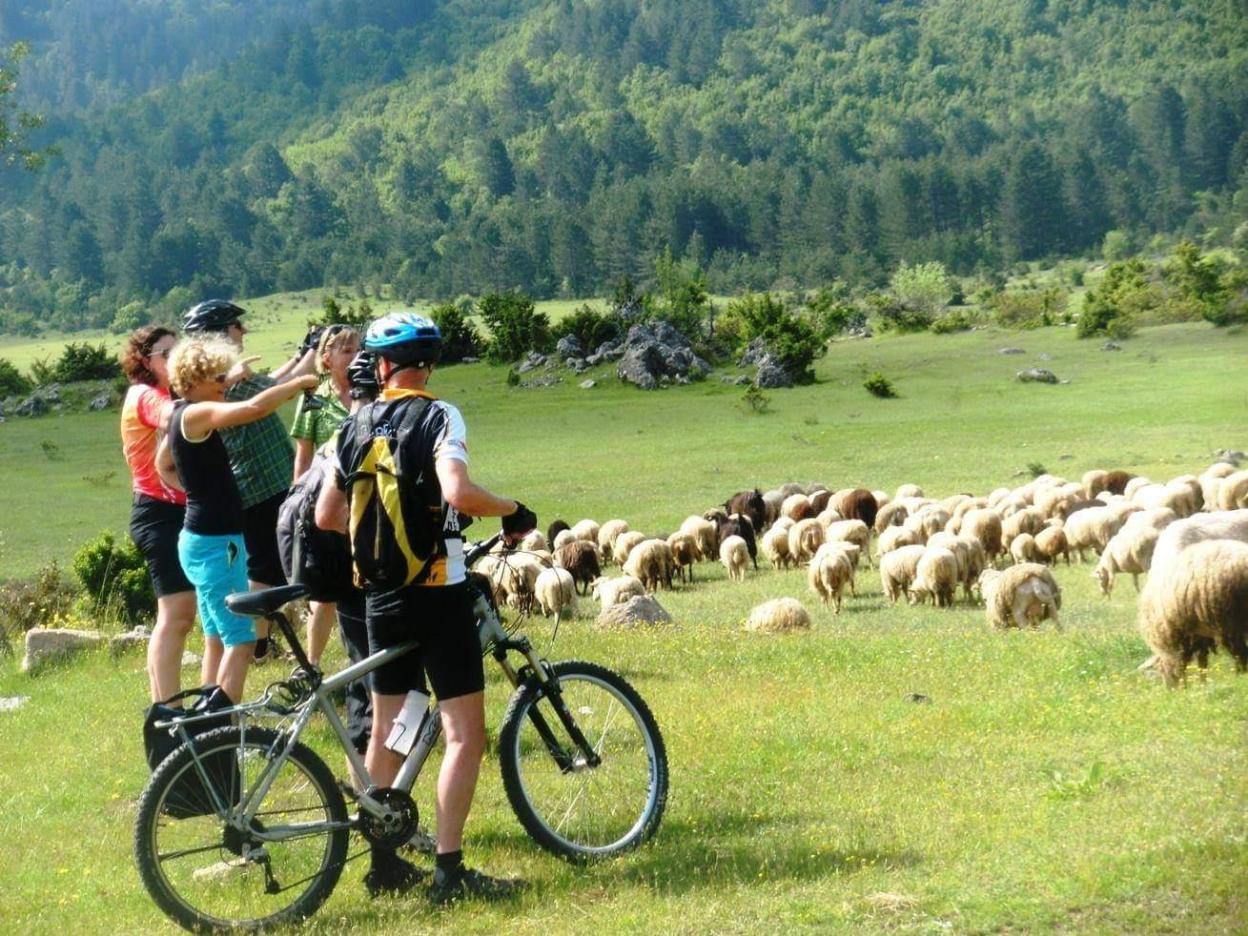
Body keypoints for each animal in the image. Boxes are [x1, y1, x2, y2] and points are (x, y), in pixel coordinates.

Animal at [1138, 539, 1248, 683]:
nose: (1169, 688)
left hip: (1229, 622)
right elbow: (1202, 662)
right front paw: (1203, 683)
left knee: (1240, 653)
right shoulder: (1200, 635)